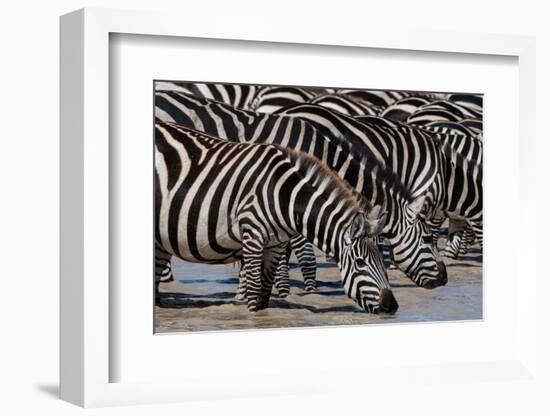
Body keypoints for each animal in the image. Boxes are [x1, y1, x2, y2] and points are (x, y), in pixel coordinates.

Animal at [155, 120, 396, 312]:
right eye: (360, 262)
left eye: (382, 260)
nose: (392, 306)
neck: (283, 196)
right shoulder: (252, 236)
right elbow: (254, 291)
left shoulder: (275, 244)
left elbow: (264, 294)